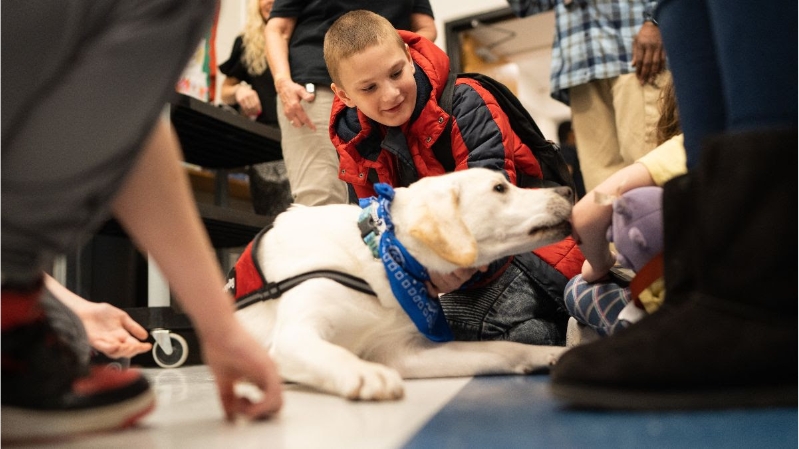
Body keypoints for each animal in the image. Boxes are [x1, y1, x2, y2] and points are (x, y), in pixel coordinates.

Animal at [231, 168, 576, 400]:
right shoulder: (293, 336)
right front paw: (365, 372)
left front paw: (550, 354)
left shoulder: (401, 353)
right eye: (500, 188)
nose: (567, 190)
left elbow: (504, 348)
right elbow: (332, 353)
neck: (383, 255)